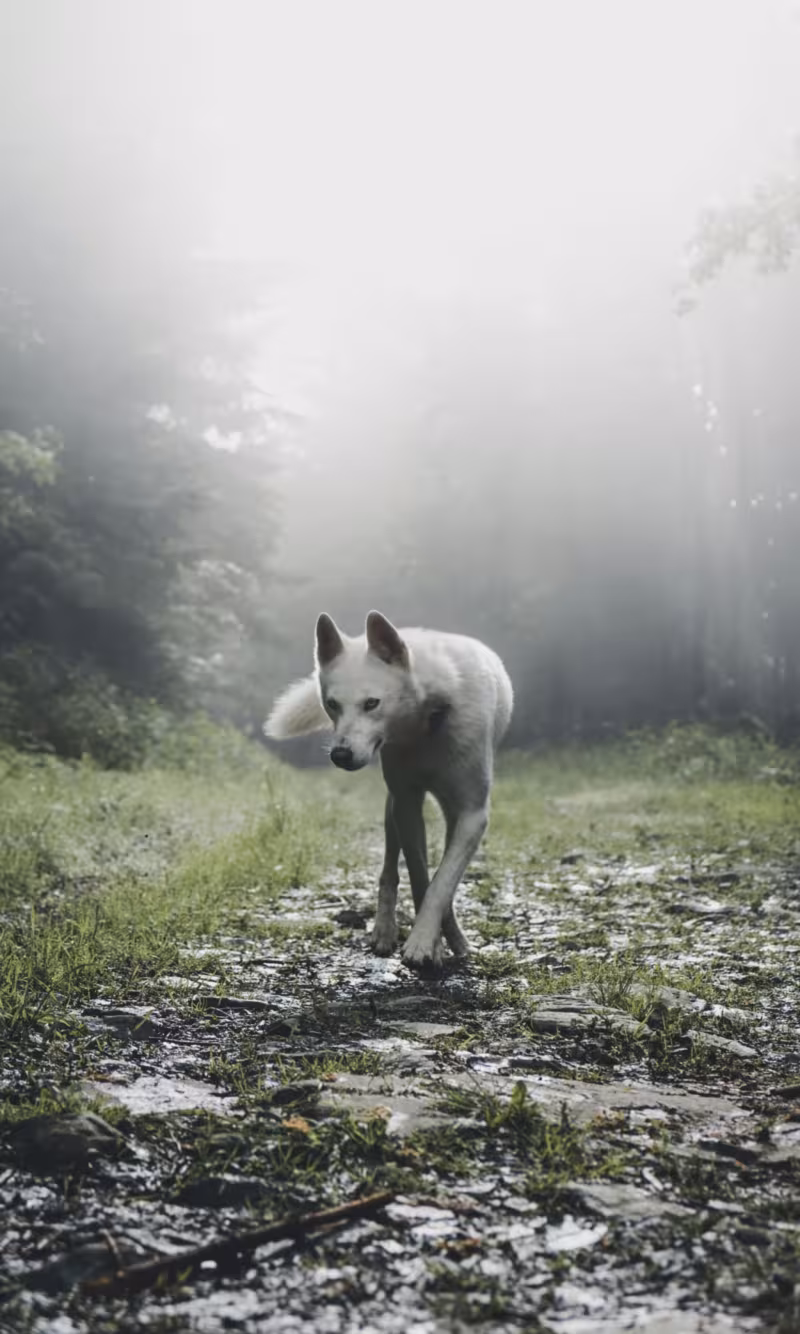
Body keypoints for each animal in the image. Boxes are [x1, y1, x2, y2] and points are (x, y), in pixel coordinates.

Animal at [264, 611, 513, 972]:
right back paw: (385, 930)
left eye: (372, 703)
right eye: (333, 704)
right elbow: (421, 879)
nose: (340, 755)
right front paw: (431, 943)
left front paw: (428, 940)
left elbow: (442, 882)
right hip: (392, 808)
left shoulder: (473, 814)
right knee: (389, 870)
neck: (428, 720)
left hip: (448, 813)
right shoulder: (407, 805)